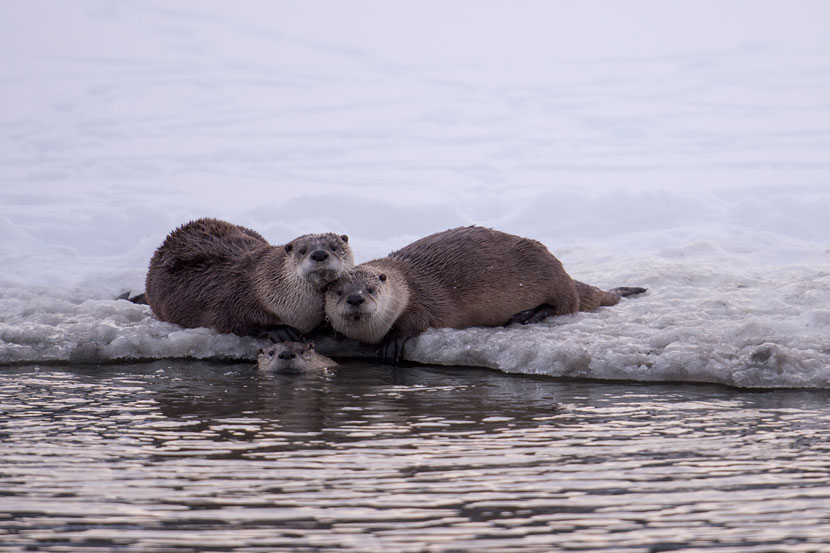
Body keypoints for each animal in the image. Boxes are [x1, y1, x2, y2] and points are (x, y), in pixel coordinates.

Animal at [146, 217, 354, 338]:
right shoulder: (232, 297)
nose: (319, 254)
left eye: (334, 247)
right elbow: (231, 320)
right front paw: (280, 331)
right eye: (303, 251)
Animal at [324, 225, 648, 360]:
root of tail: (565, 273)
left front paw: (392, 342)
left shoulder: (420, 302)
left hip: (550, 274)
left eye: (371, 288)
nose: (355, 298)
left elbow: (415, 321)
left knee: (568, 303)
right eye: (338, 291)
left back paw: (527, 315)